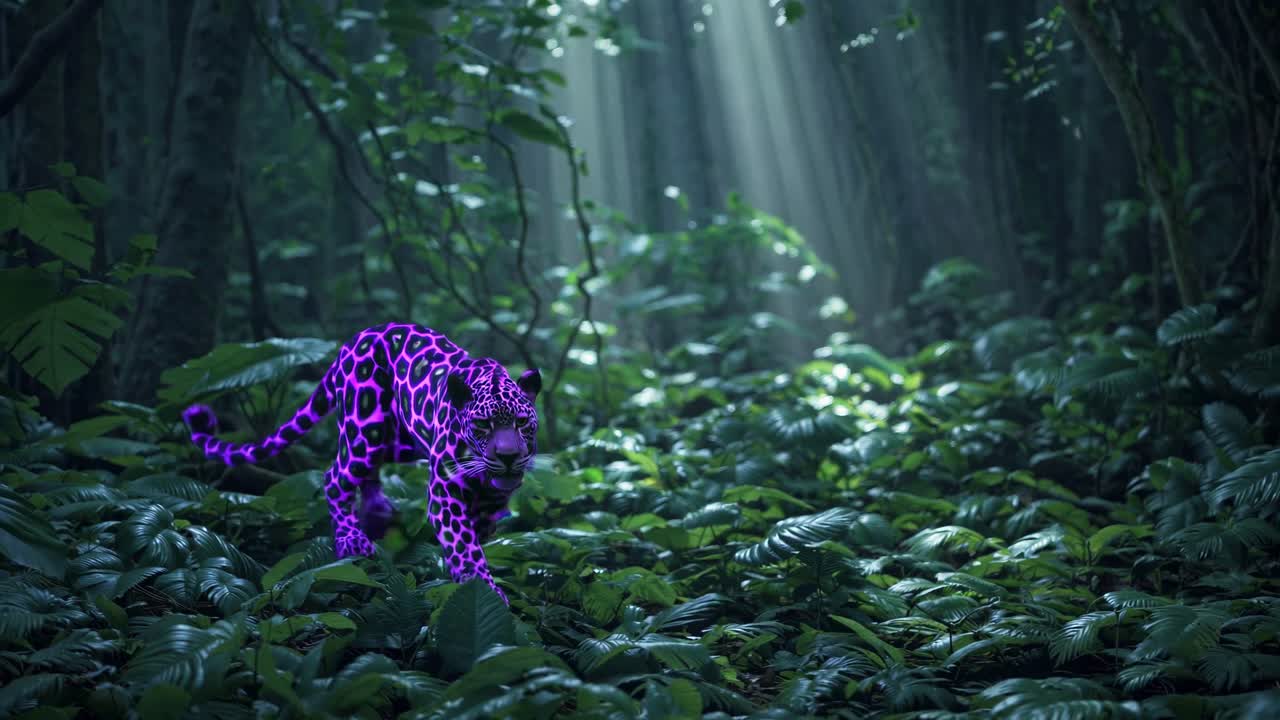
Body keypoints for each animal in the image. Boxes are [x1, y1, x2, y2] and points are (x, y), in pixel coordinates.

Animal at [181, 323, 540, 603]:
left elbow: (480, 525)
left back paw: (377, 514)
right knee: (334, 476)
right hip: (364, 430)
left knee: (369, 471)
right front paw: (484, 589)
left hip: (396, 440)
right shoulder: (444, 490)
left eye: (522, 422)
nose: (508, 457)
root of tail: (352, 342)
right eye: (483, 425)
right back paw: (351, 539)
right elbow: (464, 544)